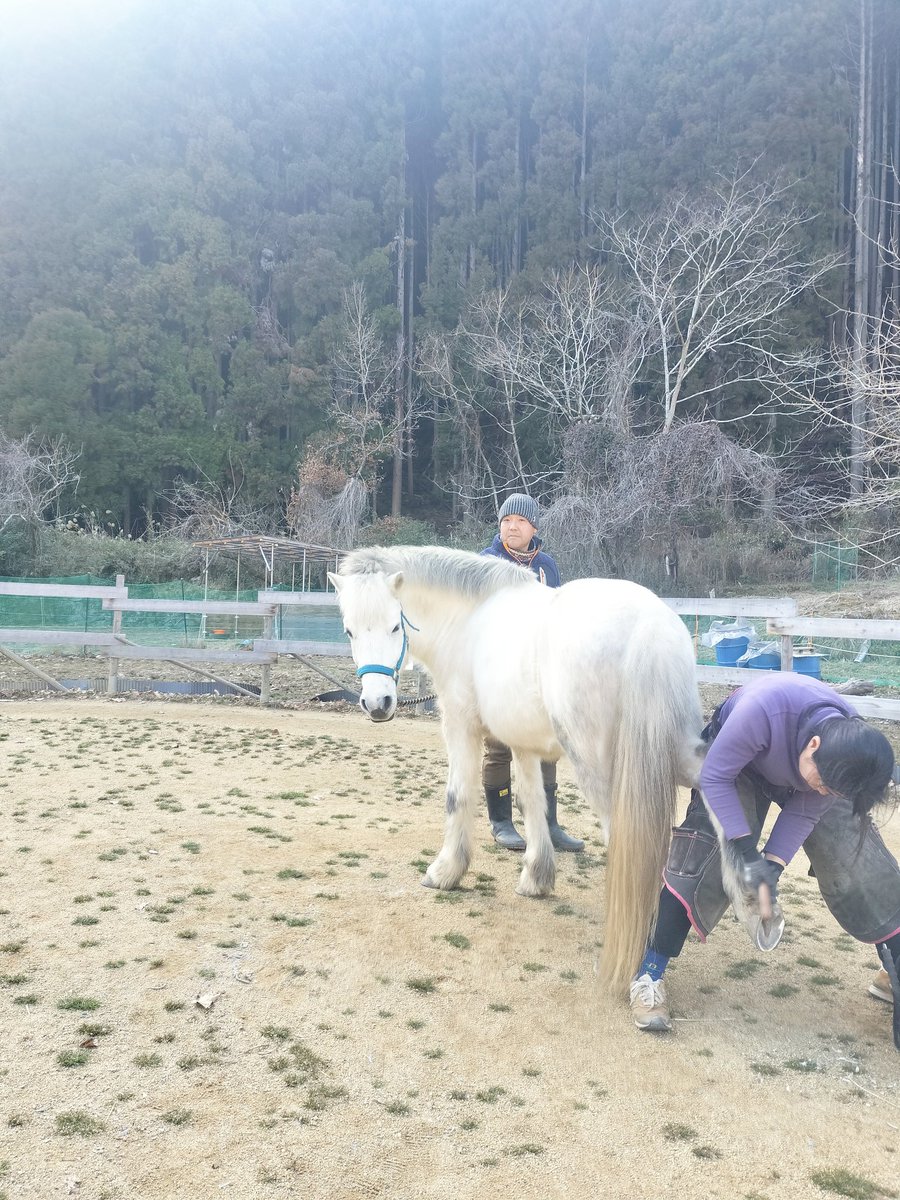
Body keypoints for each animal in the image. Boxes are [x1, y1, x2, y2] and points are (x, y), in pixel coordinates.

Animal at [328, 545, 705, 993]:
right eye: (349, 631)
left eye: (393, 627)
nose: (378, 704)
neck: (468, 620)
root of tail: (648, 629)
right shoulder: (525, 743)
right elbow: (531, 802)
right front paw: (537, 876)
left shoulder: (460, 724)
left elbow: (458, 796)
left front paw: (445, 871)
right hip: (682, 754)